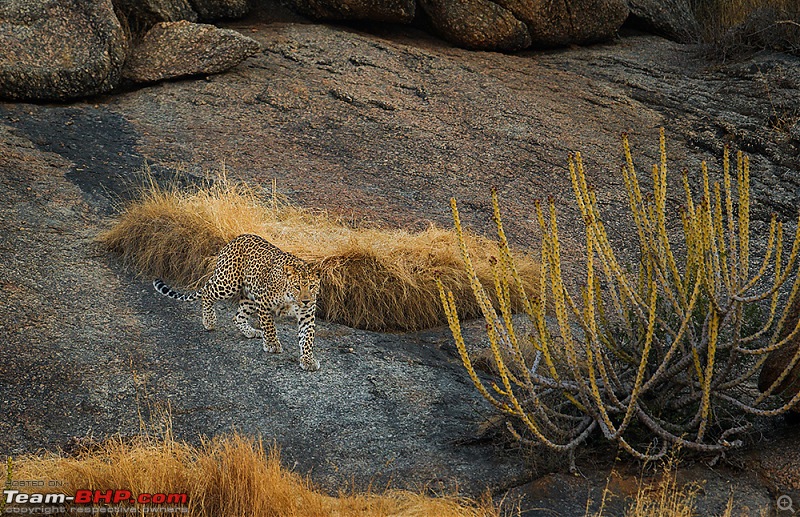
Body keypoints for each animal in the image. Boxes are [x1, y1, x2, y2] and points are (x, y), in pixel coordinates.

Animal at [154, 234, 322, 370]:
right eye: (297, 287)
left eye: (312, 286)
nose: (306, 301)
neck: (291, 298)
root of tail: (235, 239)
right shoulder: (263, 302)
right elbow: (269, 326)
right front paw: (272, 344)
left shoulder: (306, 316)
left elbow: (307, 338)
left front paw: (308, 360)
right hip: (228, 283)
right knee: (207, 292)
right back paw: (209, 321)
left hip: (249, 297)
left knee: (237, 317)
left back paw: (250, 331)